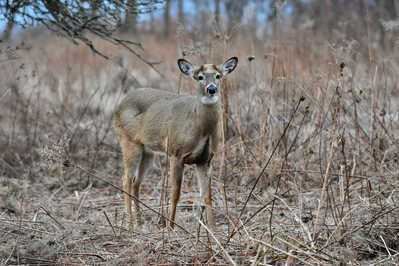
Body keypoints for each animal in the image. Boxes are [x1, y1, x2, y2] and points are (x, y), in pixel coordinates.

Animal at [113, 56, 238, 229]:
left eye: (218, 76)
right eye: (200, 77)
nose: (211, 89)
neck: (201, 129)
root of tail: (119, 104)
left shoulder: (205, 159)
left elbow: (207, 196)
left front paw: (213, 227)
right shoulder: (176, 153)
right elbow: (175, 194)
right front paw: (170, 227)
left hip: (148, 152)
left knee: (136, 181)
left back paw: (139, 223)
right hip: (129, 141)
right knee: (126, 179)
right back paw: (130, 224)